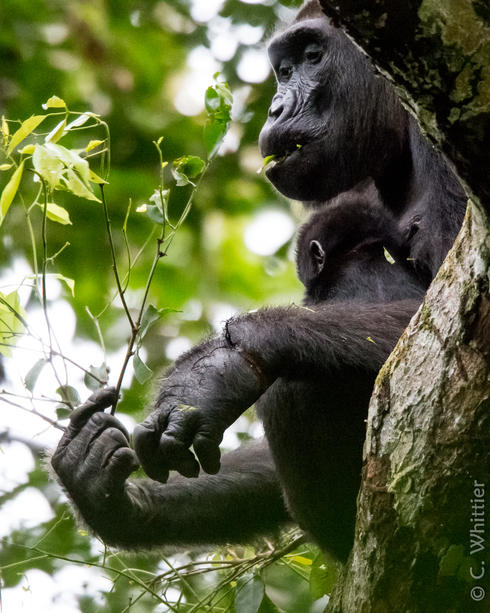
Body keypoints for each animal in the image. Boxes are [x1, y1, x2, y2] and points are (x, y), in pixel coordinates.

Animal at [51, 0, 466, 560]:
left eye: (312, 56)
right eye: (283, 70)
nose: (276, 108)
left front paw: (215, 371)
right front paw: (115, 500)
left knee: (299, 375)